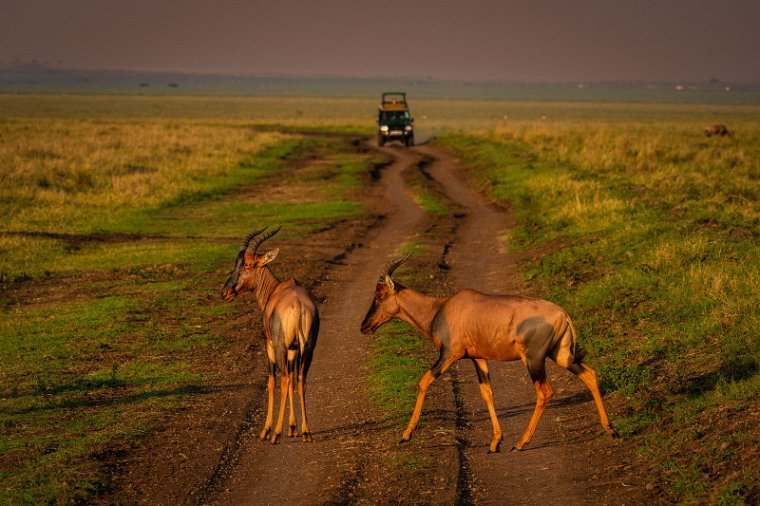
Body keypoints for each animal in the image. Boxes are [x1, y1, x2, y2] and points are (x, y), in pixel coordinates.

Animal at [220, 225, 318, 442]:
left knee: (284, 379)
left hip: (280, 346)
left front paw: (267, 430)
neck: (275, 290)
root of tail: (298, 306)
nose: (225, 293)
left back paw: (275, 434)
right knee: (300, 379)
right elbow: (294, 379)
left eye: (248, 265)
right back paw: (306, 431)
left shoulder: (270, 344)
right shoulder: (293, 348)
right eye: (236, 263)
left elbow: (271, 382)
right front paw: (292, 427)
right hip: (308, 348)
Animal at [362, 255, 616, 452]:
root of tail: (562, 314)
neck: (442, 307)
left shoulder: (449, 355)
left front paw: (406, 434)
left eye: (379, 296)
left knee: (545, 392)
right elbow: (487, 393)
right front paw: (495, 442)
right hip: (561, 355)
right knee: (590, 374)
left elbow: (424, 382)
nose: (364, 326)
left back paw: (521, 443)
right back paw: (610, 429)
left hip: (534, 360)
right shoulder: (478, 358)